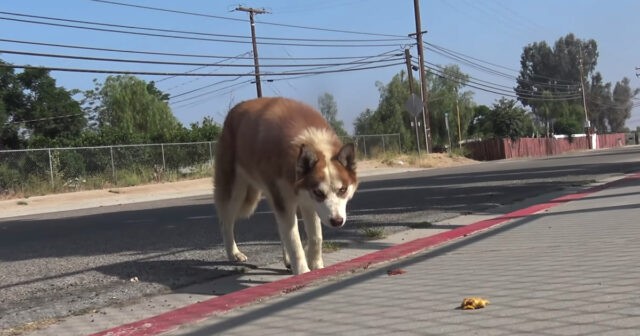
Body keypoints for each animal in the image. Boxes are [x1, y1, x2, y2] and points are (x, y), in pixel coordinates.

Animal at [212, 96, 358, 272]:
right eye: (319, 192)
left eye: (343, 190)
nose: (337, 221)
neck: (311, 141)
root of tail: (235, 109)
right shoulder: (288, 201)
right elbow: (294, 242)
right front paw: (303, 272)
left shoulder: (307, 202)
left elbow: (316, 237)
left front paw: (317, 266)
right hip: (236, 192)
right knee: (225, 222)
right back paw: (233, 253)